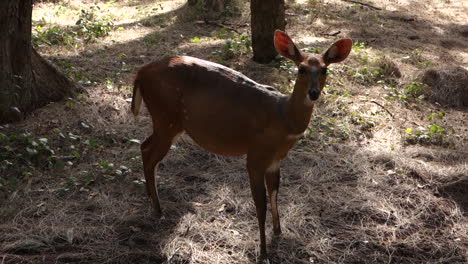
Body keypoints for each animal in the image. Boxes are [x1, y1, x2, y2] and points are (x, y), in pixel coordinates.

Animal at [132, 29, 352, 260]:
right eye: (301, 69)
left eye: (324, 69)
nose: (314, 93)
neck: (283, 118)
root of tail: (140, 73)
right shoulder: (255, 155)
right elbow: (260, 204)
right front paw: (263, 253)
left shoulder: (275, 160)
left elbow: (275, 193)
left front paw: (278, 232)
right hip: (166, 117)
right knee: (150, 154)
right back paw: (158, 211)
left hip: (166, 122)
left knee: (144, 146)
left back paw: (150, 198)